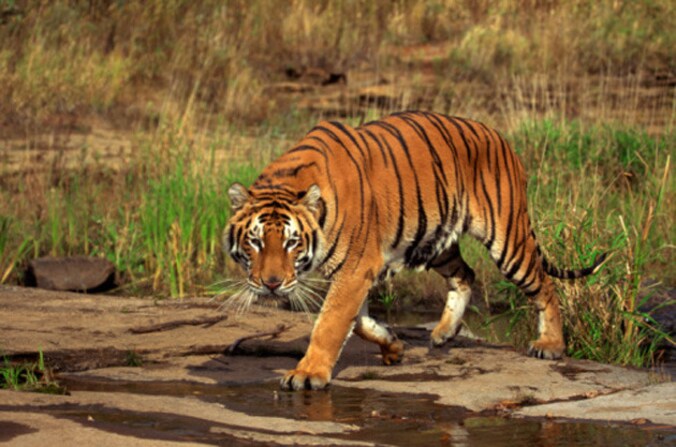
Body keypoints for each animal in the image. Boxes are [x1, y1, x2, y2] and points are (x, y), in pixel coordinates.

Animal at [224, 111, 605, 391]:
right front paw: (393, 346)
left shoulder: (356, 267)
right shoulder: (358, 270)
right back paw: (443, 333)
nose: (271, 284)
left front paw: (307, 374)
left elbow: (330, 323)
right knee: (466, 274)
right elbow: (358, 321)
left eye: (292, 242)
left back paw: (551, 345)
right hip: (435, 241)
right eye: (255, 241)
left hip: (507, 238)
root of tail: (502, 138)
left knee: (544, 284)